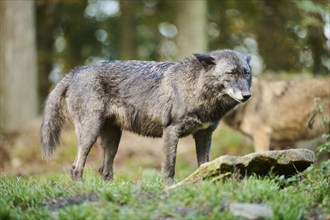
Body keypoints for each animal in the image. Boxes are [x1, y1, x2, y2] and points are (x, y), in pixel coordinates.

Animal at [40, 50, 253, 184]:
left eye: (246, 73)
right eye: (231, 73)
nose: (247, 96)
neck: (196, 88)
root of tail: (76, 71)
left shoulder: (204, 135)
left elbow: (204, 165)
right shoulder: (171, 131)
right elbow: (169, 167)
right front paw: (168, 188)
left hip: (112, 139)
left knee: (104, 171)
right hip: (90, 134)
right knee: (76, 167)